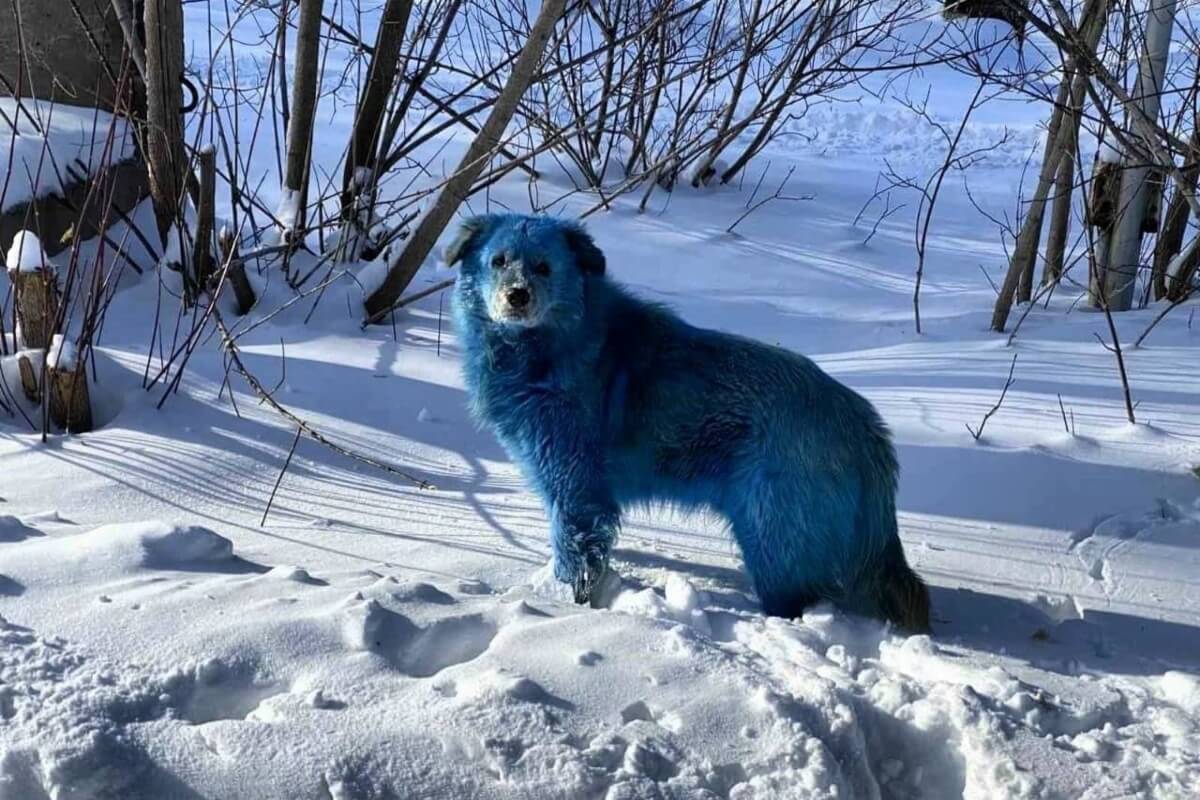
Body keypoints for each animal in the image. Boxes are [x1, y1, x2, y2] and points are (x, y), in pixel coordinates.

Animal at [451, 212, 926, 633]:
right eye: (499, 261)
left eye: (544, 266)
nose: (517, 296)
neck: (554, 344)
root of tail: (864, 426)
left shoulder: (575, 490)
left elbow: (575, 557)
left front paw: (564, 607)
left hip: (770, 539)